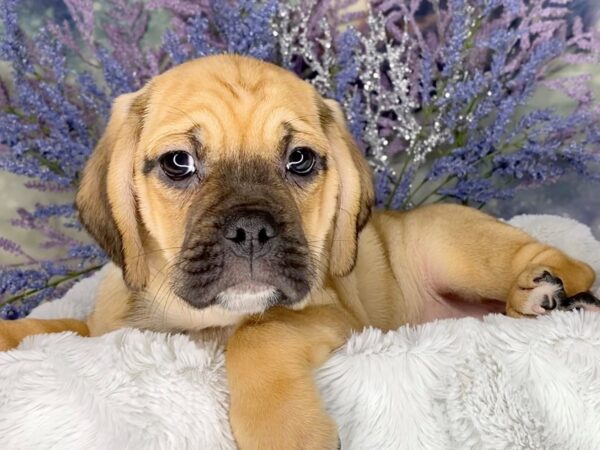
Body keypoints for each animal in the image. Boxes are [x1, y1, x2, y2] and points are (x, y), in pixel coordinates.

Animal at [0, 54, 596, 448]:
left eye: (300, 160)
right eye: (178, 163)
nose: (250, 231)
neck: (194, 318)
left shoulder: (329, 315)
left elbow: (260, 333)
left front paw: (284, 432)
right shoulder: (106, 333)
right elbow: (57, 327)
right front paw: (12, 332)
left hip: (454, 244)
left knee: (563, 261)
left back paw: (541, 289)